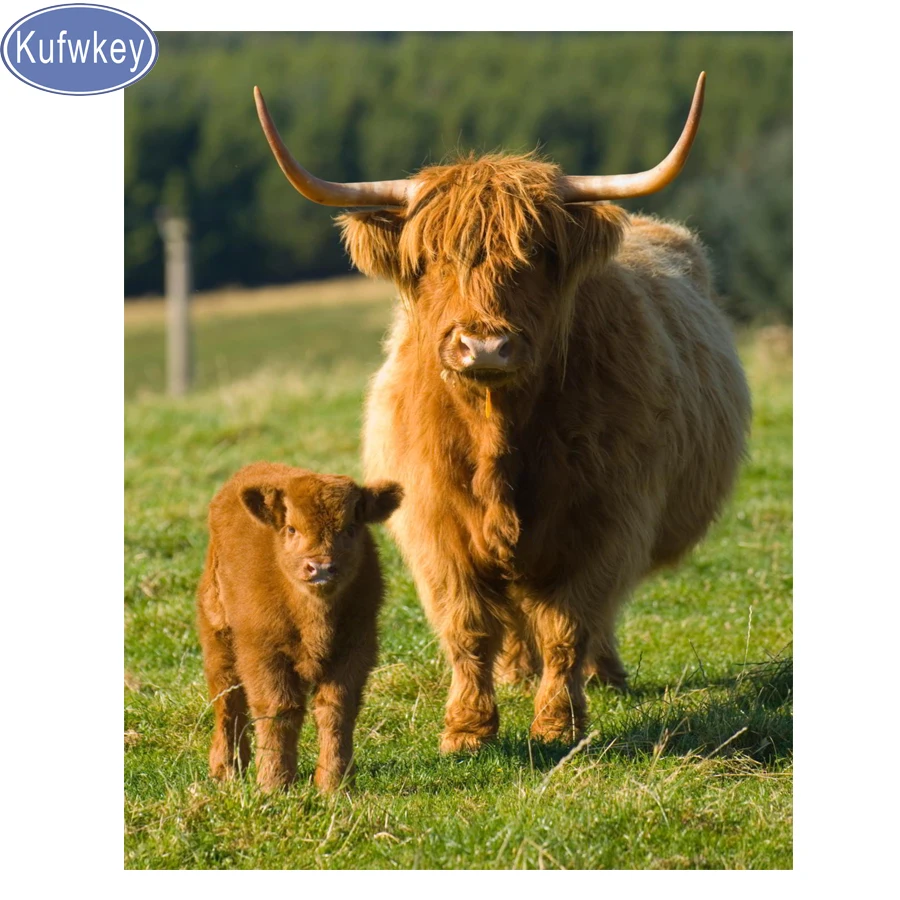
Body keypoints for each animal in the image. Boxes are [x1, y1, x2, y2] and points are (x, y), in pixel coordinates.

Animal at [254, 73, 751, 754]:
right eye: (432, 258)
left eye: (537, 253)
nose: (484, 345)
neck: (498, 436)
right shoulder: (435, 527)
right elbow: (467, 626)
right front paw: (467, 730)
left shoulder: (605, 522)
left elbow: (570, 623)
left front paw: (558, 725)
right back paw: (517, 671)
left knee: (589, 616)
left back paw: (602, 673)